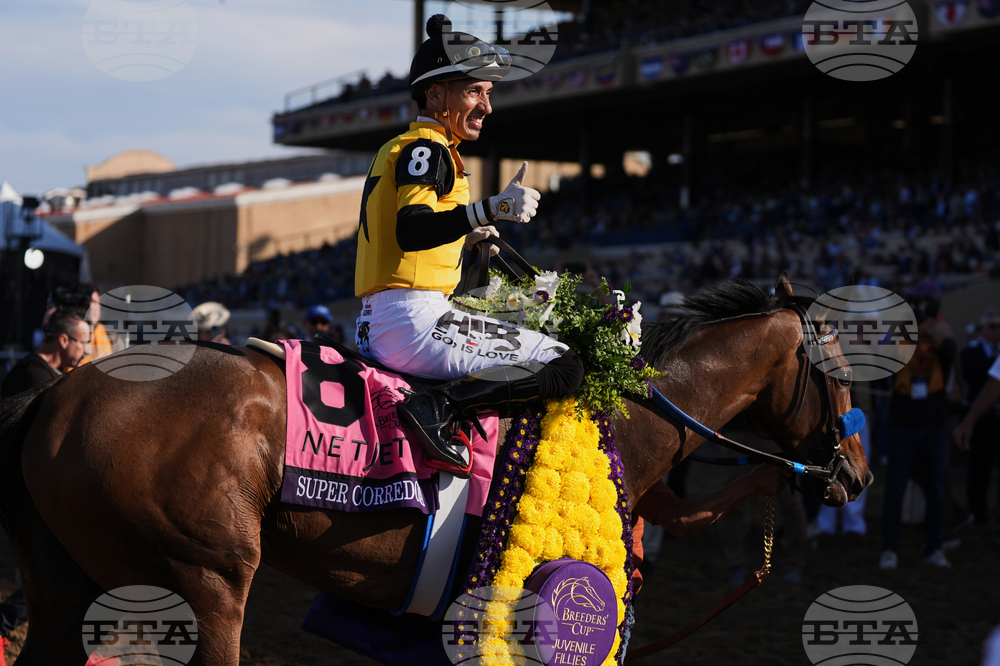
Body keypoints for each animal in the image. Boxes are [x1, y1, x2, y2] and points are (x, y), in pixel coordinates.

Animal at [0, 275, 871, 666]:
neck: (620, 410)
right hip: (200, 578)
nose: (856, 472)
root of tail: (60, 395)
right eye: (840, 366)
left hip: (68, 579)